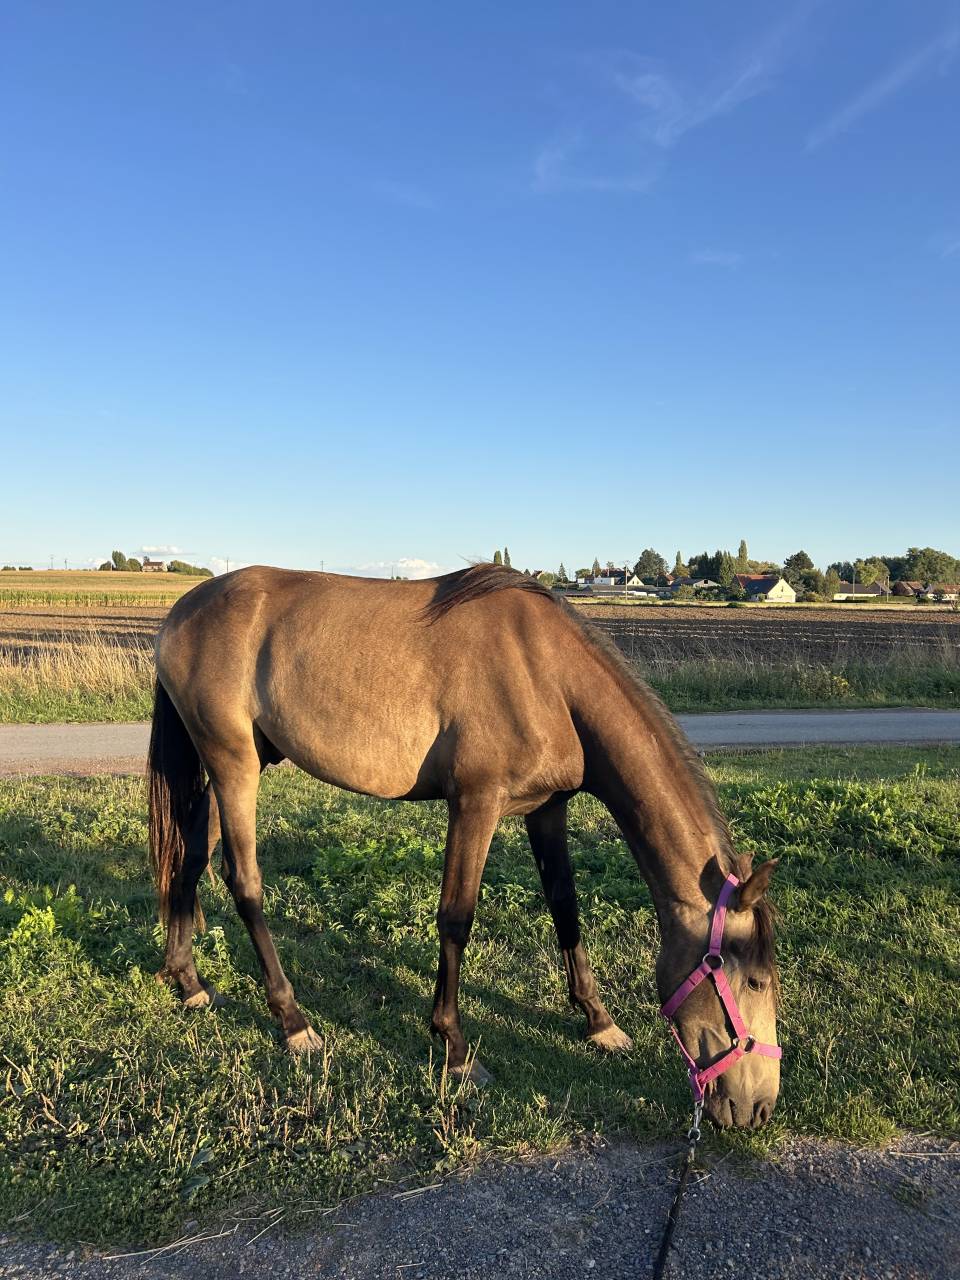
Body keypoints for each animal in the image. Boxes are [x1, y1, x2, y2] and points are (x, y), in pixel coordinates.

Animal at [148, 563, 780, 1129]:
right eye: (753, 980)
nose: (758, 1108)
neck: (548, 674)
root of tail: (180, 613)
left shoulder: (546, 809)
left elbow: (565, 908)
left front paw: (598, 1020)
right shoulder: (475, 804)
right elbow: (456, 918)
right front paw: (453, 1047)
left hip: (229, 767)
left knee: (188, 860)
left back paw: (187, 981)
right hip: (235, 767)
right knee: (244, 882)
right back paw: (292, 1019)